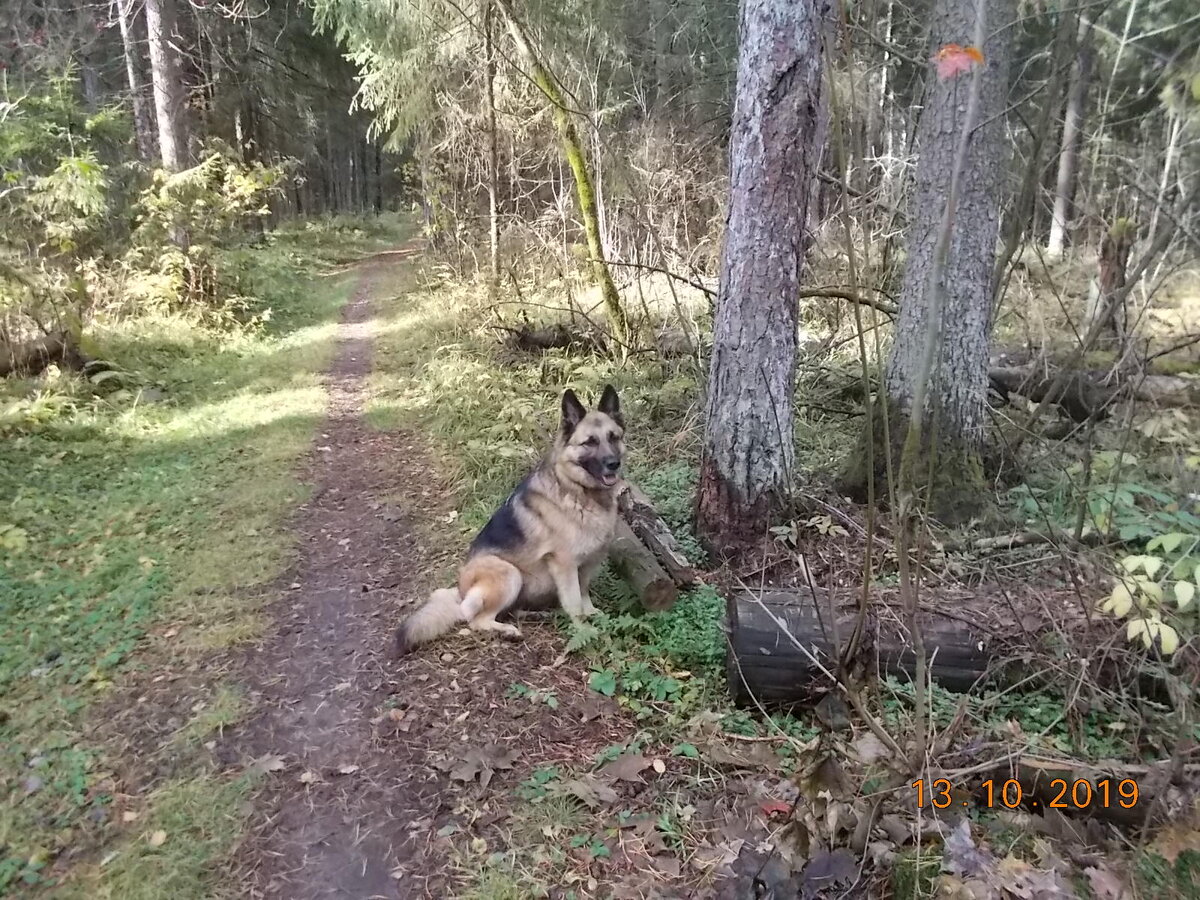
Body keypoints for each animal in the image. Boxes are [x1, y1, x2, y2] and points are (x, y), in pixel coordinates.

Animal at [391, 386, 628, 657]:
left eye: (613, 437)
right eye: (589, 442)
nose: (613, 464)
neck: (579, 492)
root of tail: (459, 591)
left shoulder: (588, 563)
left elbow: (584, 593)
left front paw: (592, 615)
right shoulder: (564, 565)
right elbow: (574, 602)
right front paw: (584, 630)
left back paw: (534, 615)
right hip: (509, 573)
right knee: (474, 619)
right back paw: (507, 631)